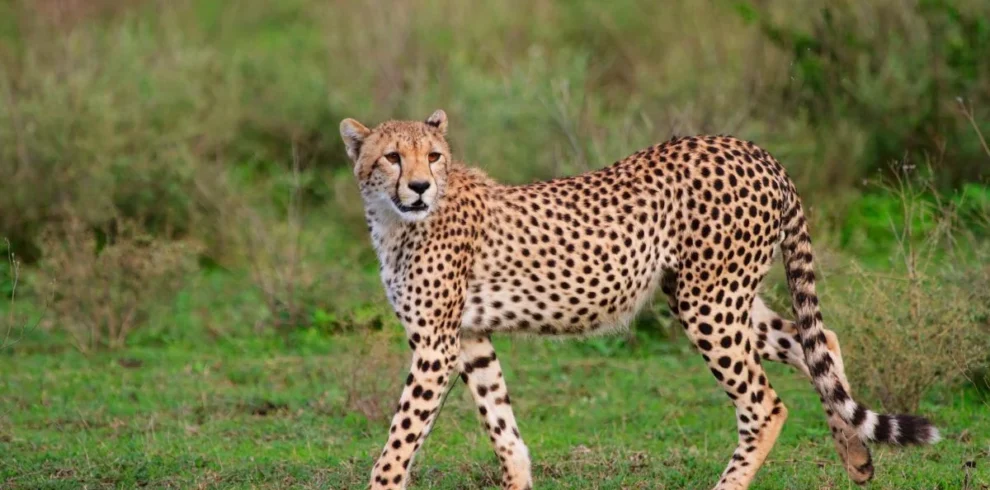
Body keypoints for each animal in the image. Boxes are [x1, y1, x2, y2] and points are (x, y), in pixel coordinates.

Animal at [338, 109, 940, 490]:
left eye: (433, 156)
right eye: (392, 157)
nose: (419, 187)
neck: (396, 220)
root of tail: (754, 150)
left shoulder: (435, 346)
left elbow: (399, 443)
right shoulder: (469, 338)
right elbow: (502, 426)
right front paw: (519, 479)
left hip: (708, 302)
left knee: (765, 404)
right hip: (717, 295)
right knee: (819, 342)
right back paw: (857, 458)